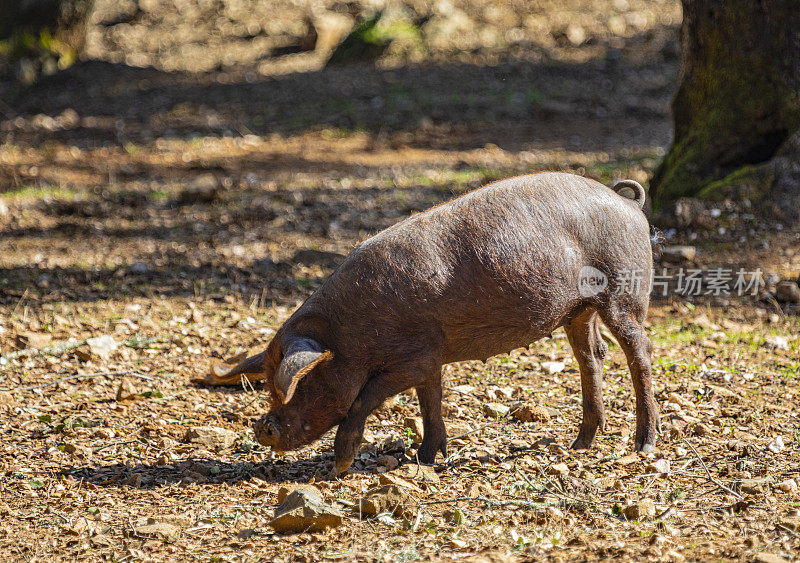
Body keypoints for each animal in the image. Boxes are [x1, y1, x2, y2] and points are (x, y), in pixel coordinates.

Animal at [205, 173, 656, 476]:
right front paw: (426, 458)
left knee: (640, 354)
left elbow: (363, 399)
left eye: (303, 382)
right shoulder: (431, 356)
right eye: (265, 383)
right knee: (591, 356)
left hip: (625, 289)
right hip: (578, 309)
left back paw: (643, 446)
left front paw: (341, 466)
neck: (349, 333)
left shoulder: (412, 357)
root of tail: (629, 203)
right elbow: (429, 401)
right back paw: (580, 444)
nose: (262, 428)